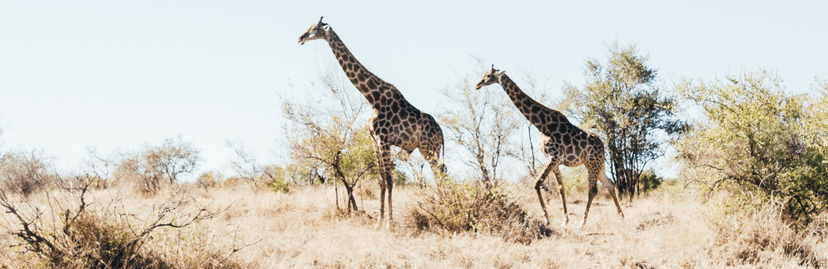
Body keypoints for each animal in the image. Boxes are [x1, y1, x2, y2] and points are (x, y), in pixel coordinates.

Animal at [300, 17, 446, 228]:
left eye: (314, 29)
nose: (300, 38)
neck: (373, 98)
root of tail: (442, 132)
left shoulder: (384, 139)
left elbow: (390, 180)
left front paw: (389, 224)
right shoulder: (374, 140)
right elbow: (381, 180)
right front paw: (378, 223)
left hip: (430, 147)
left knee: (441, 172)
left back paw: (445, 207)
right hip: (426, 149)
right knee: (440, 172)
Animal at [472, 63, 620, 227]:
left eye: (488, 76)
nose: (477, 85)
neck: (541, 124)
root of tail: (603, 147)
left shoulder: (553, 157)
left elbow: (537, 183)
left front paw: (547, 219)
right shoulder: (554, 160)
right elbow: (561, 188)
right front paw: (565, 220)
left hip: (592, 164)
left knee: (593, 190)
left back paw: (582, 223)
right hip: (597, 165)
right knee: (610, 185)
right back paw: (622, 216)